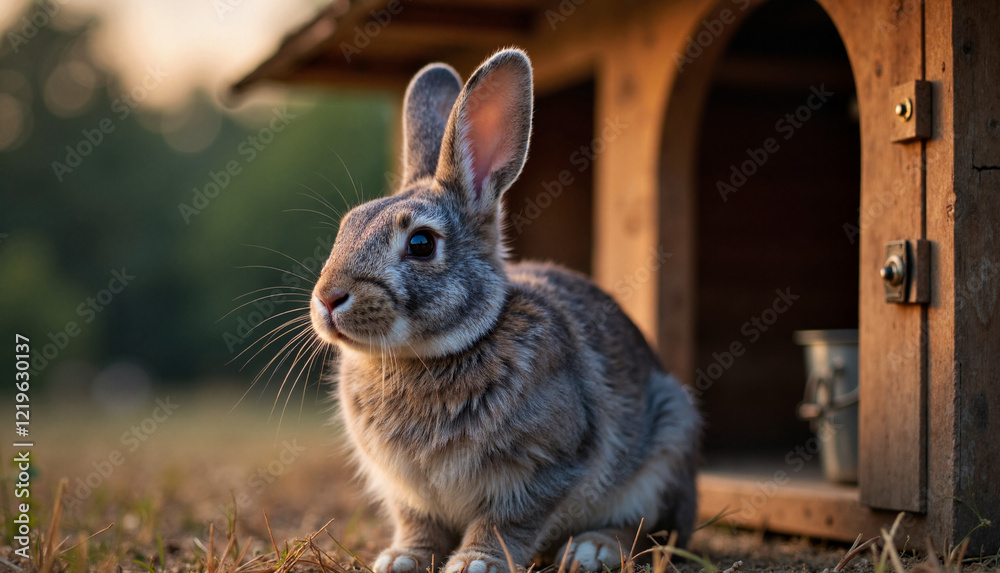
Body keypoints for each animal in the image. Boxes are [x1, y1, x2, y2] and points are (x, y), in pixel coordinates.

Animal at [309, 48, 701, 573]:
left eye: (421, 244)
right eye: (347, 227)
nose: (328, 298)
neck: (427, 357)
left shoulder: (544, 464)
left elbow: (505, 521)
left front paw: (475, 563)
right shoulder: (407, 492)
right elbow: (419, 525)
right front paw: (400, 560)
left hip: (667, 444)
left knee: (653, 530)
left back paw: (594, 549)